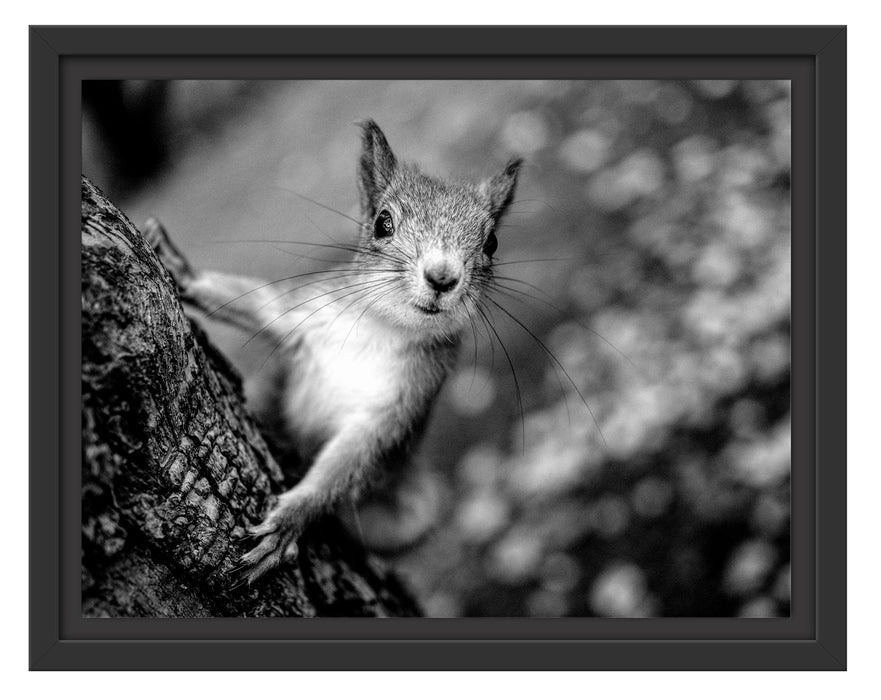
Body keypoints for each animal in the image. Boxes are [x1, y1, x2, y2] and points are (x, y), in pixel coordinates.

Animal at [145, 120, 522, 585]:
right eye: (382, 222)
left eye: (492, 243)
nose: (442, 277)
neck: (382, 330)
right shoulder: (307, 315)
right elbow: (260, 304)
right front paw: (184, 272)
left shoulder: (401, 405)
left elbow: (346, 466)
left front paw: (291, 519)